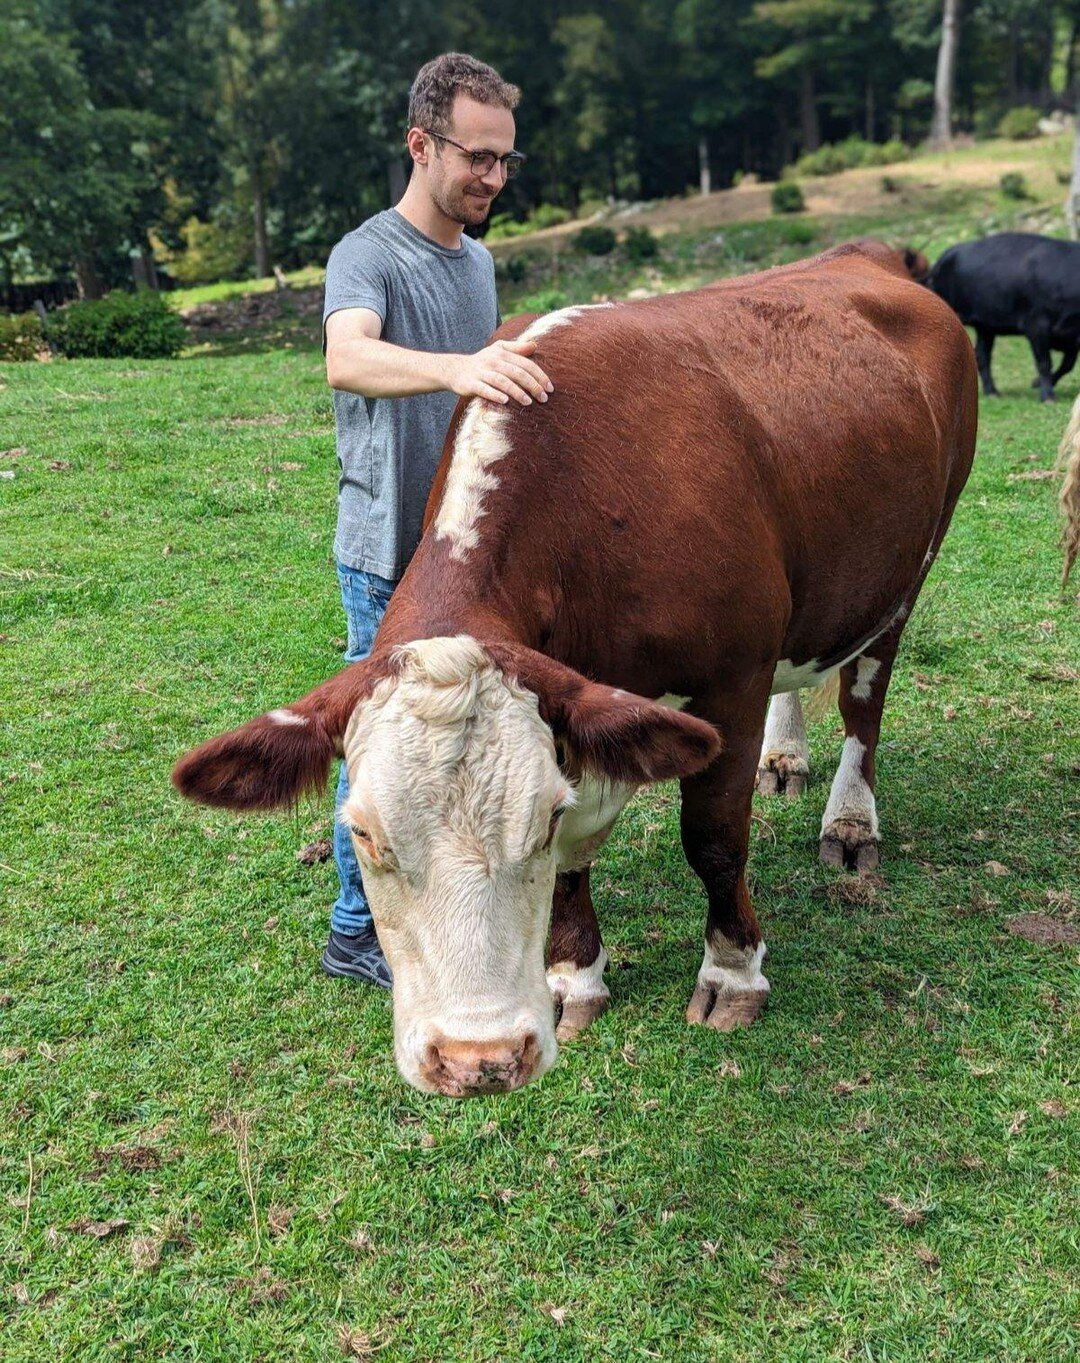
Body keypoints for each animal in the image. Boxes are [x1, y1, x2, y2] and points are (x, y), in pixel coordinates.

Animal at [174, 242, 976, 1095]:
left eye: (544, 816)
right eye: (360, 832)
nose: (478, 1058)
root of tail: (867, 253)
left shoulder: (732, 676)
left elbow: (714, 838)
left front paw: (732, 972)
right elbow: (572, 869)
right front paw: (573, 977)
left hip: (909, 565)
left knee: (865, 695)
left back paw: (851, 820)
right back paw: (784, 757)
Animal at [927, 231, 1080, 400]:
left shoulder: (1071, 338)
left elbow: (1067, 364)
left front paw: (1037, 383)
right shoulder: (1036, 325)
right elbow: (1044, 362)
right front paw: (1048, 396)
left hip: (985, 326)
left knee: (982, 356)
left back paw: (992, 392)